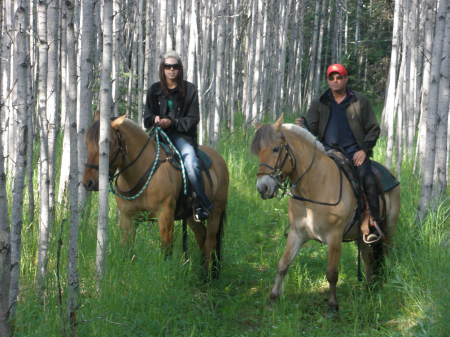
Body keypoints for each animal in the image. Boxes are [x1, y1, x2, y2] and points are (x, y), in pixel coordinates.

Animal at [82, 114, 229, 276]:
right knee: (201, 236)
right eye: (86, 142)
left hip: (215, 212)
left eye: (108, 143)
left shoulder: (165, 216)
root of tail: (219, 159)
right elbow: (127, 251)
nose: (88, 183)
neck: (141, 170)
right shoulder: (128, 219)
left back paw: (209, 276)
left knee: (210, 242)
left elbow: (166, 251)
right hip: (191, 216)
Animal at [250, 115, 400, 310]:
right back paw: (368, 290)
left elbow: (332, 273)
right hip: (362, 237)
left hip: (388, 229)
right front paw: (273, 297)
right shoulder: (297, 233)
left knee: (386, 255)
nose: (263, 188)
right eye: (258, 151)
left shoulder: (334, 237)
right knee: (368, 259)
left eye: (276, 149)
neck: (314, 188)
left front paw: (333, 306)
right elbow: (283, 264)